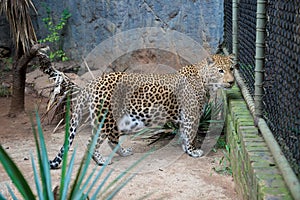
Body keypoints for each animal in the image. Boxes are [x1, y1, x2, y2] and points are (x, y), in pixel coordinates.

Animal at [49, 53, 234, 169]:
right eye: (221, 71)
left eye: (231, 69)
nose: (232, 82)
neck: (204, 80)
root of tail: (94, 82)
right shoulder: (191, 114)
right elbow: (190, 134)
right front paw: (192, 151)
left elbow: (184, 133)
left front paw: (185, 148)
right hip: (105, 119)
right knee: (92, 141)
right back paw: (101, 162)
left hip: (119, 119)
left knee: (112, 140)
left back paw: (123, 153)